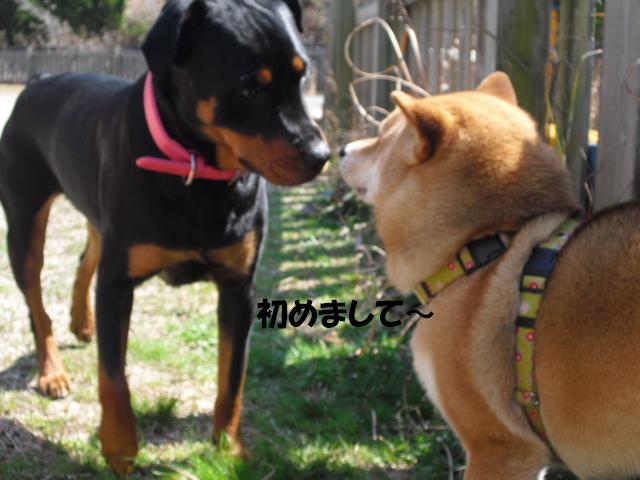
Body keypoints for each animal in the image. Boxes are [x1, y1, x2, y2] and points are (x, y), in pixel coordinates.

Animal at [0, 0, 329, 474]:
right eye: (249, 87)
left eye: (303, 76)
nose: (321, 156)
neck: (198, 171)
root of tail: (36, 83)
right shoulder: (118, 282)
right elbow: (113, 375)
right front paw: (119, 447)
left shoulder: (239, 288)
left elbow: (233, 377)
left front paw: (230, 449)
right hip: (25, 222)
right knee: (36, 303)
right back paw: (52, 372)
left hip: (100, 218)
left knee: (86, 257)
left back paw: (81, 322)